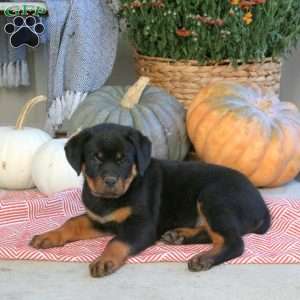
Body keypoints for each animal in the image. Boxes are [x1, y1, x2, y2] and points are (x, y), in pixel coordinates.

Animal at [29, 123, 270, 278]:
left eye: (124, 159)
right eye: (96, 158)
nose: (110, 181)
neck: (110, 200)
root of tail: (262, 206)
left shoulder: (141, 225)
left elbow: (117, 242)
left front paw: (105, 260)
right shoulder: (100, 220)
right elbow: (72, 222)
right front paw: (48, 236)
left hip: (214, 197)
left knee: (233, 241)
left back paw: (204, 259)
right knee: (214, 234)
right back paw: (179, 235)